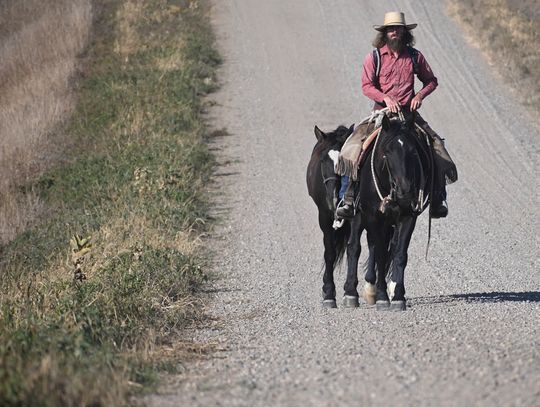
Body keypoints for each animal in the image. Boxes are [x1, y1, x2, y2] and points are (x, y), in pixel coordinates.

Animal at [344, 115, 436, 312]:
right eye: (387, 152)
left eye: (413, 151)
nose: (405, 192)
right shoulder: (373, 216)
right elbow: (380, 254)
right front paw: (381, 297)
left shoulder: (407, 217)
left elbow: (399, 253)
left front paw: (398, 295)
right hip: (358, 215)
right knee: (354, 246)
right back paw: (351, 294)